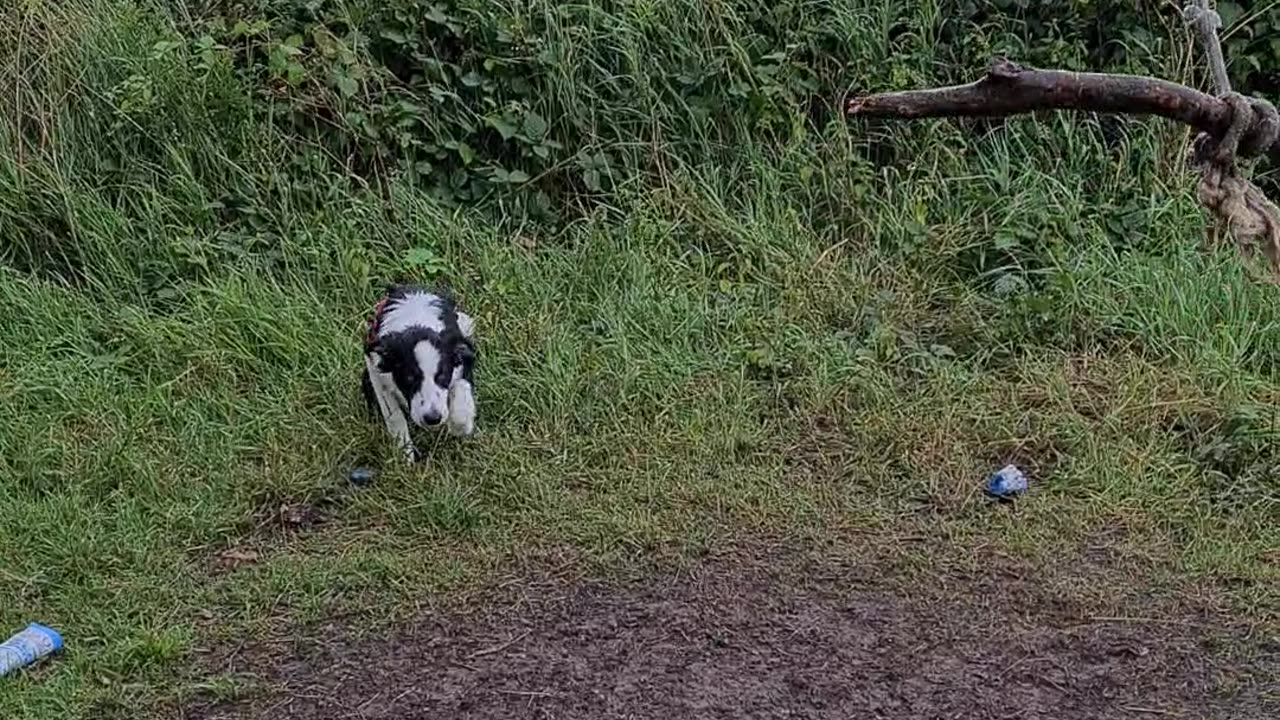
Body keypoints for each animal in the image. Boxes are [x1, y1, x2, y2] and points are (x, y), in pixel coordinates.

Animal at [363, 281, 478, 458]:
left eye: (442, 375)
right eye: (409, 378)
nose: (432, 419)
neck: (417, 323)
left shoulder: (462, 358)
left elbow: (461, 384)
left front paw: (460, 424)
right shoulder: (375, 368)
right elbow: (393, 413)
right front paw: (404, 452)